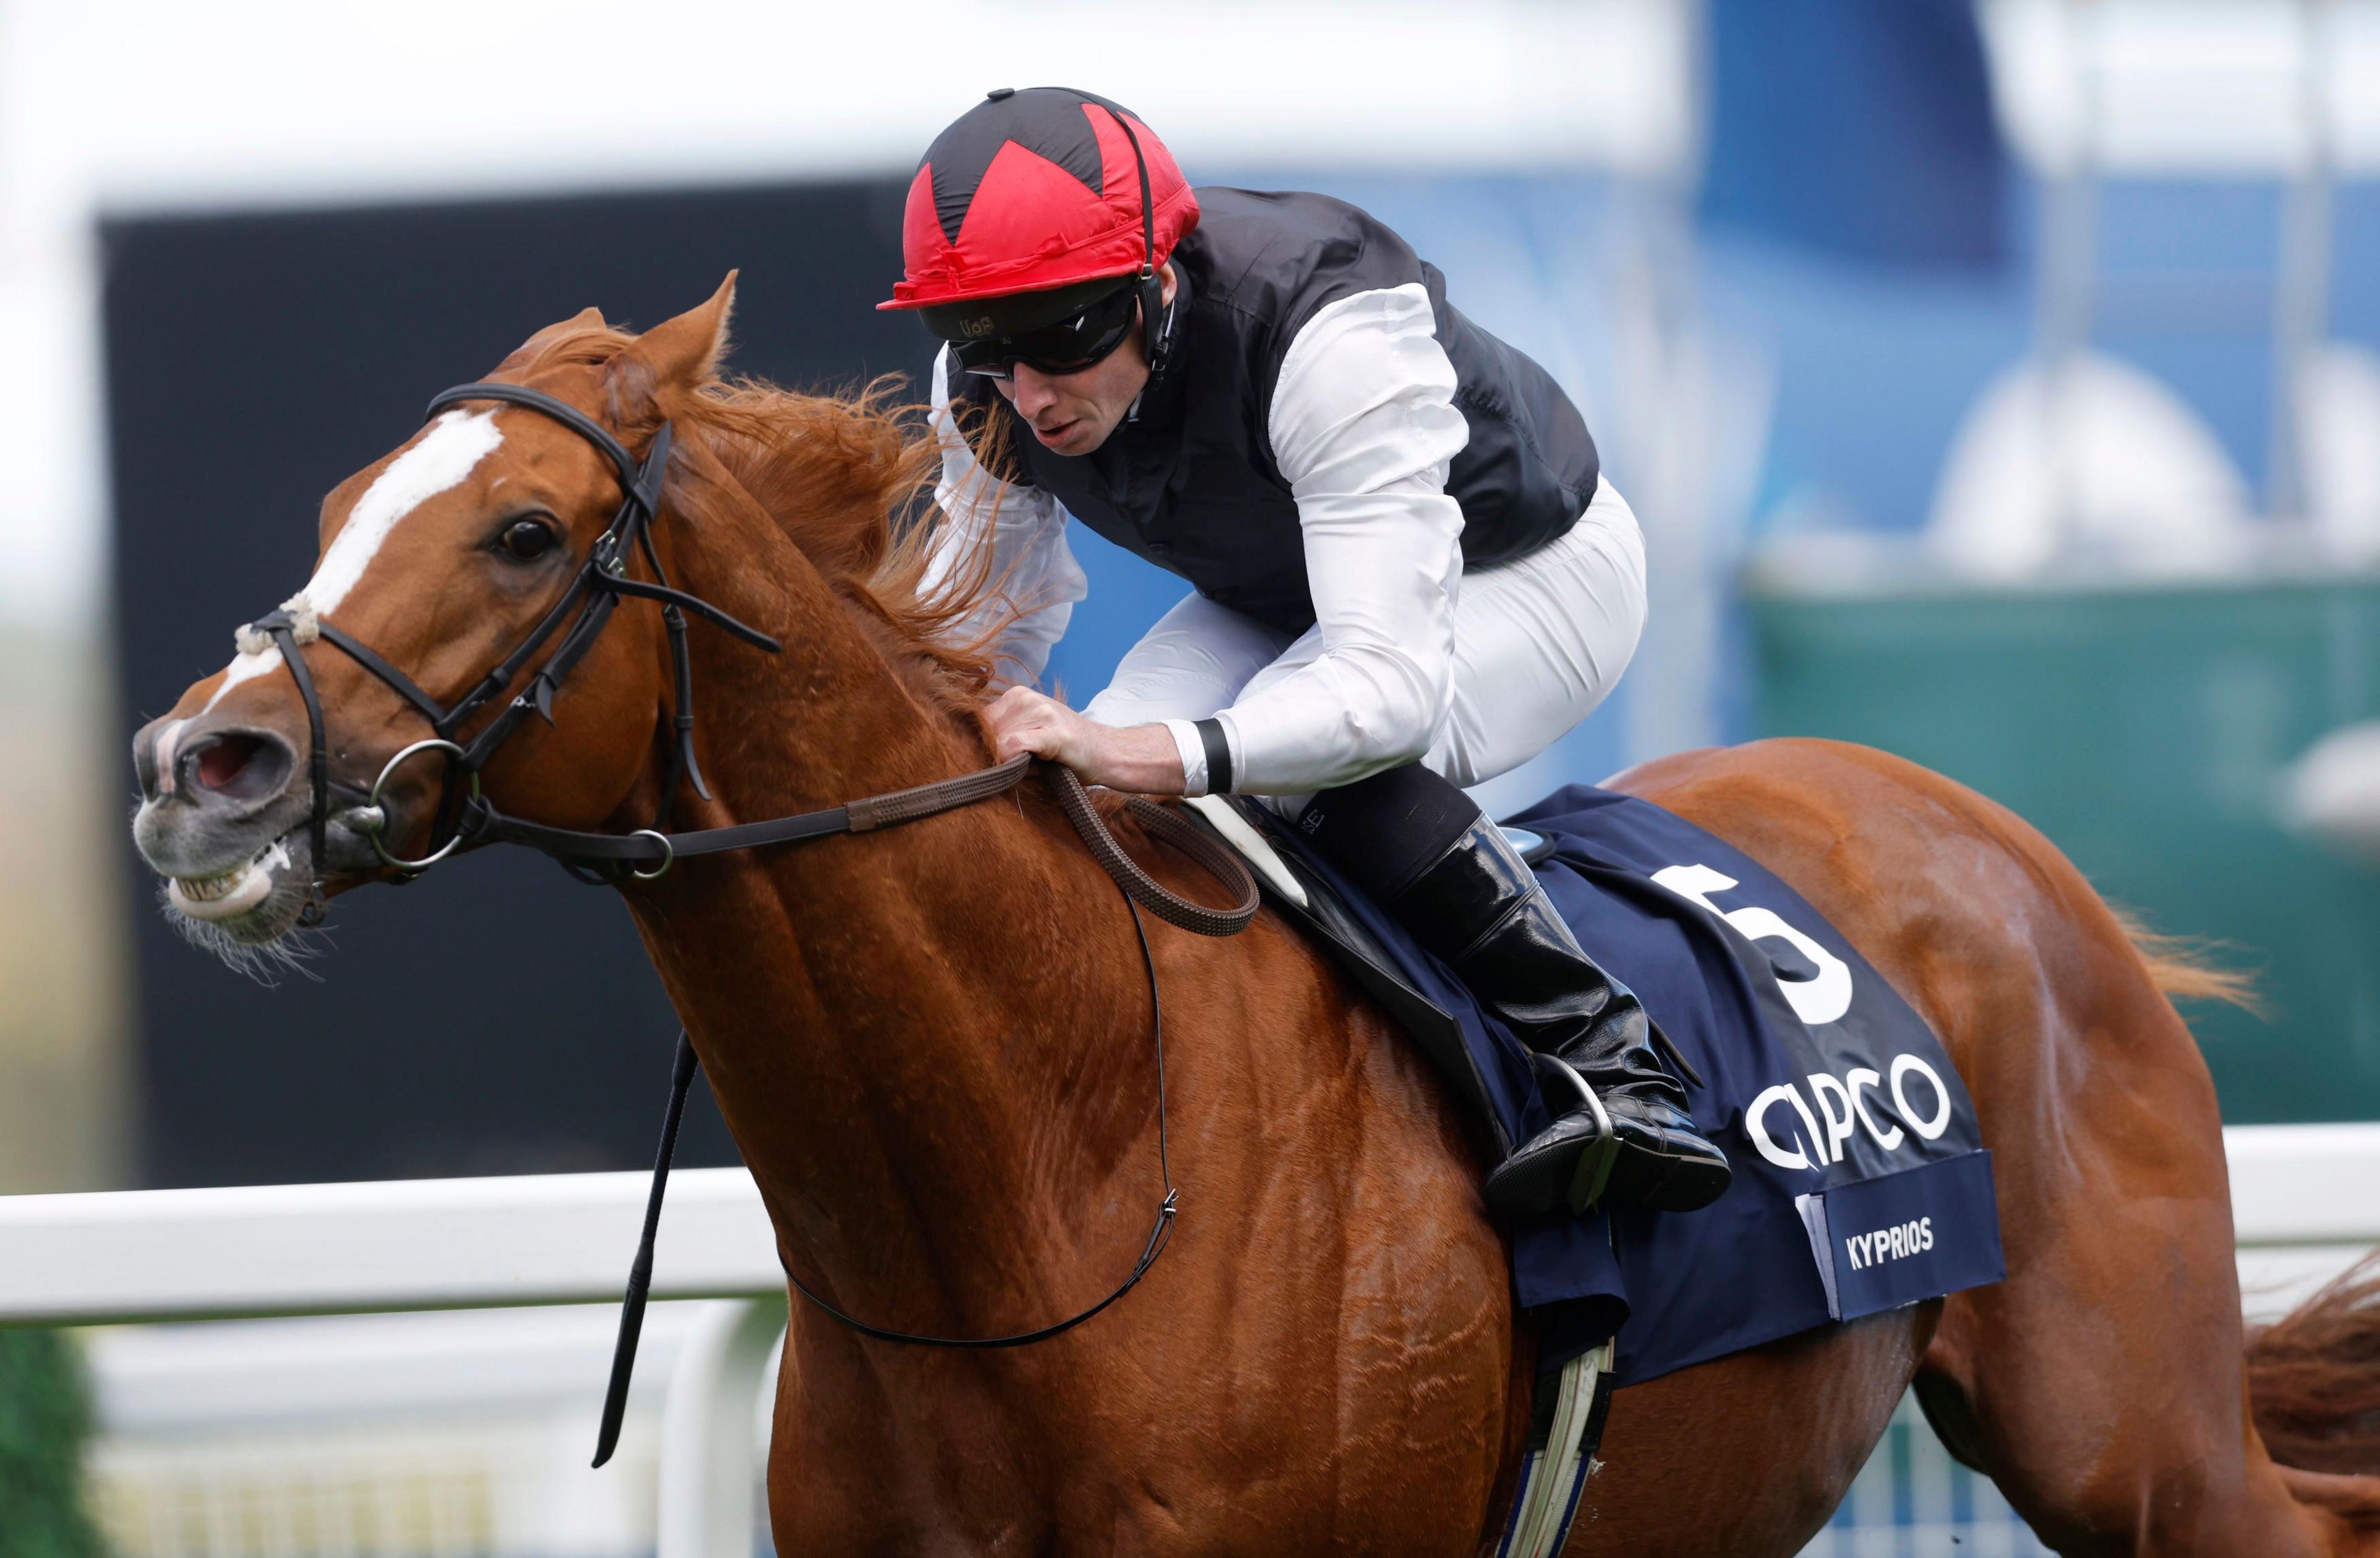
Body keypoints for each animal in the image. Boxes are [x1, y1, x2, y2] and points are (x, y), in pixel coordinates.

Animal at [125, 283, 2380, 1558]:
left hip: (2134, 1445)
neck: (1048, 1175)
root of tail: (2005, 846)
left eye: (524, 531)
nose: (198, 763)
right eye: (336, 508)